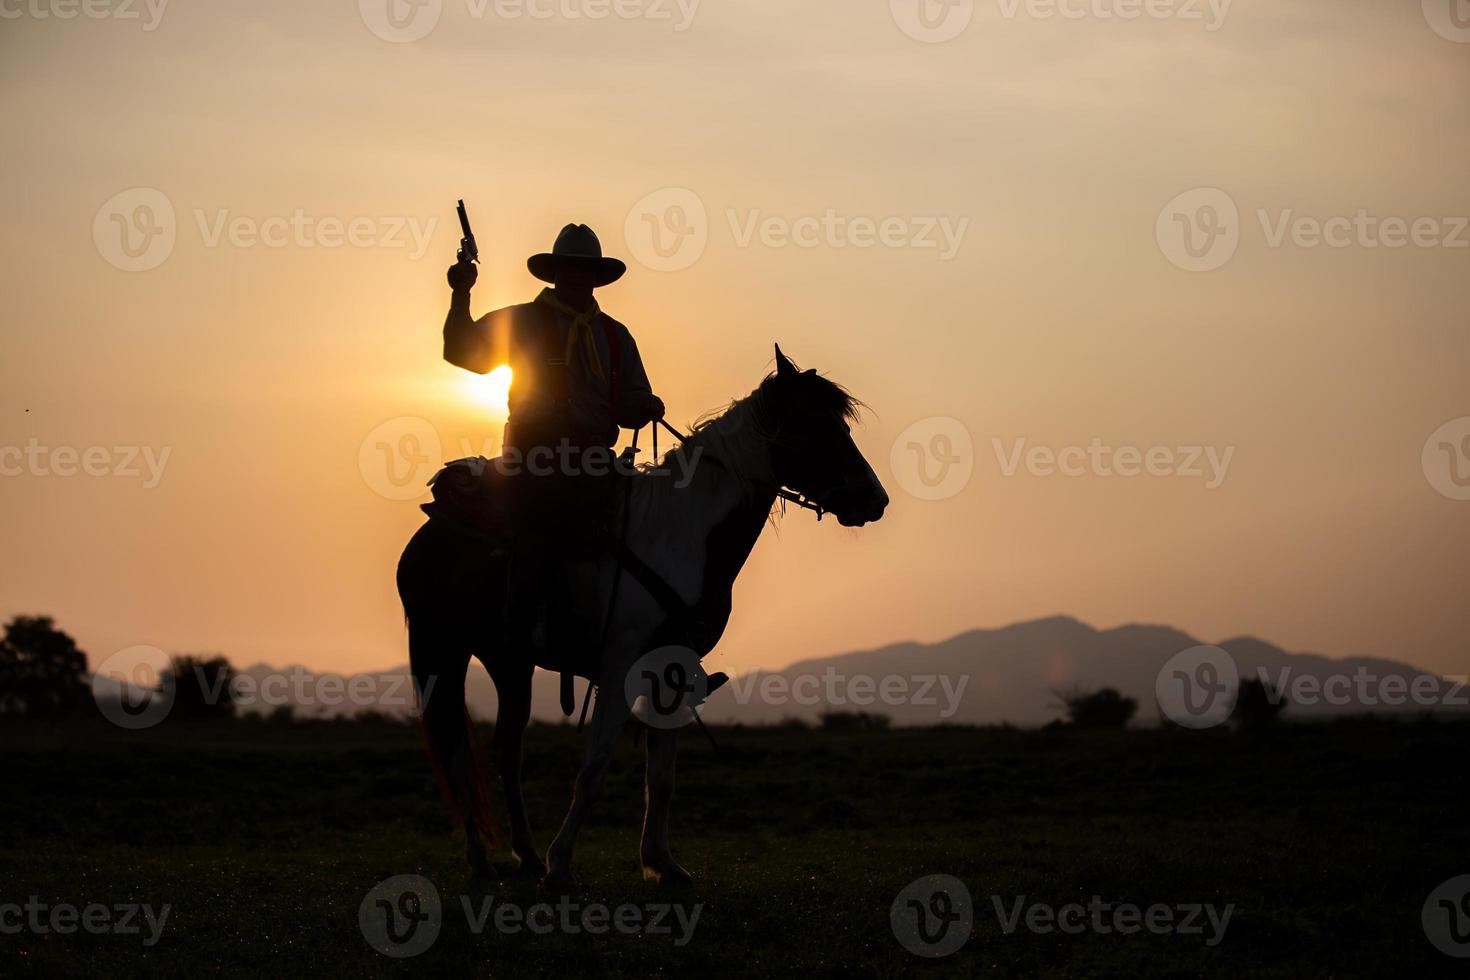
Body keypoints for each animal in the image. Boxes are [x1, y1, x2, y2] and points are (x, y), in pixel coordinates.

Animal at [396, 345, 887, 887]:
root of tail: (432, 523)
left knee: (507, 750)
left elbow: (663, 776)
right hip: (441, 650)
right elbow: (593, 769)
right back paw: (483, 860)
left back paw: (524, 854)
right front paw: (561, 864)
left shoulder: (674, 667)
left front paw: (662, 862)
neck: (682, 534)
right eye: (813, 423)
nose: (875, 499)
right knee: (454, 750)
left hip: (510, 662)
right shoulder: (617, 668)